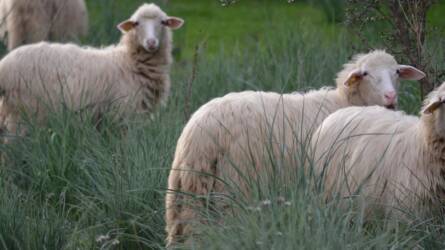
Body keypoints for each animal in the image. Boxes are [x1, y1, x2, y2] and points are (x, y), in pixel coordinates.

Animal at [0, 2, 184, 141]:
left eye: (163, 22)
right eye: (136, 24)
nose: (151, 42)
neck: (128, 62)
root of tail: (5, 65)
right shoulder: (123, 116)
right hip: (23, 113)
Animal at [164, 49, 424, 246]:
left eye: (396, 72)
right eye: (366, 73)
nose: (390, 97)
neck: (345, 102)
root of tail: (200, 133)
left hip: (186, 189)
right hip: (233, 187)